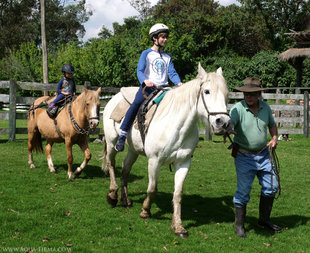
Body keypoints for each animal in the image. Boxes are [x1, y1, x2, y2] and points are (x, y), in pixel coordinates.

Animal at [101, 63, 230, 237]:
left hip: (133, 151)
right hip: (111, 142)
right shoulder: (154, 160)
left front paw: (178, 226)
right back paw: (112, 196)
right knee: (111, 164)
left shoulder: (183, 163)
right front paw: (145, 211)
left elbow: (178, 194)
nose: (222, 122)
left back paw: (125, 199)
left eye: (226, 93)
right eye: (207, 91)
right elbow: (152, 189)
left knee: (125, 169)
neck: (176, 126)